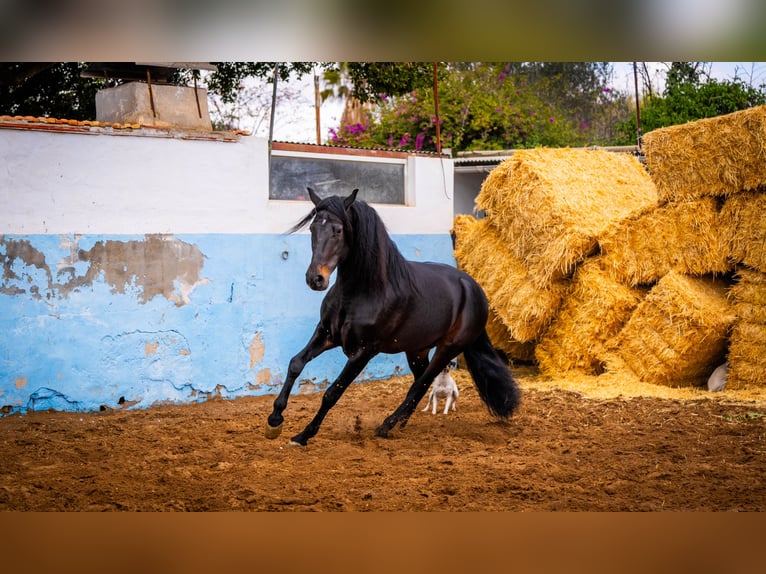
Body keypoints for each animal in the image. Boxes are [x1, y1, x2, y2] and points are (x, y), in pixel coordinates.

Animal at [266, 189, 520, 446]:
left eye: (338, 230)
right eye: (313, 228)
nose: (315, 279)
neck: (363, 292)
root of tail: (476, 290)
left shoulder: (364, 351)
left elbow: (332, 392)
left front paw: (304, 434)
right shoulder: (326, 333)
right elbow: (295, 364)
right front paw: (275, 420)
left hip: (448, 348)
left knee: (420, 384)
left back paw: (386, 426)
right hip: (417, 350)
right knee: (420, 382)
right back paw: (400, 424)